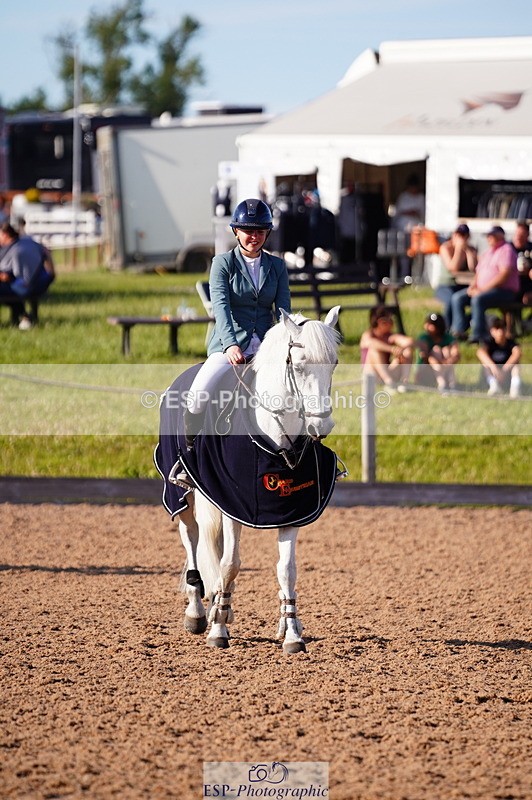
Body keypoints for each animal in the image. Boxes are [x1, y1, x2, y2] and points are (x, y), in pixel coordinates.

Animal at [155, 306, 342, 654]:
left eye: (334, 363)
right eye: (298, 365)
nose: (321, 426)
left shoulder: (292, 511)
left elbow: (286, 570)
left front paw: (292, 632)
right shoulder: (231, 505)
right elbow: (230, 564)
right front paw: (218, 631)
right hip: (184, 495)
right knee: (192, 537)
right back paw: (198, 612)